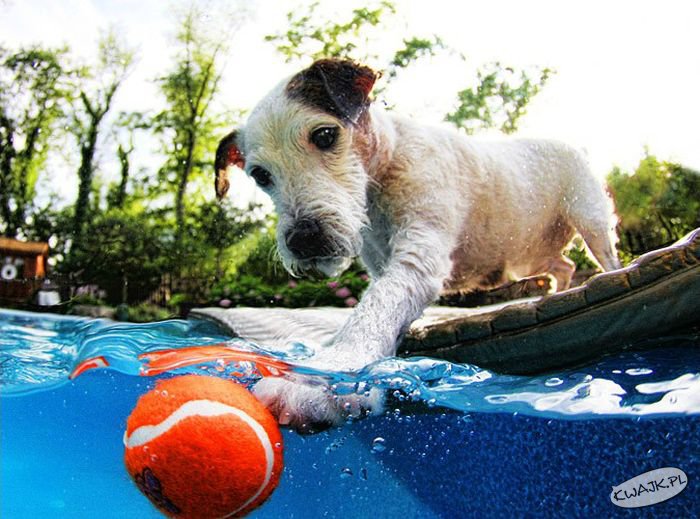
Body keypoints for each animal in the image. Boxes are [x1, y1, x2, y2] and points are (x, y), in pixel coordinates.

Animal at [216, 59, 620, 432]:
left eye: (325, 135)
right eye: (260, 175)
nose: (303, 240)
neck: (385, 166)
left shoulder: (417, 257)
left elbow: (376, 306)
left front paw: (324, 377)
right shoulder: (383, 263)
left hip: (590, 219)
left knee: (604, 256)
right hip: (534, 255)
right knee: (564, 266)